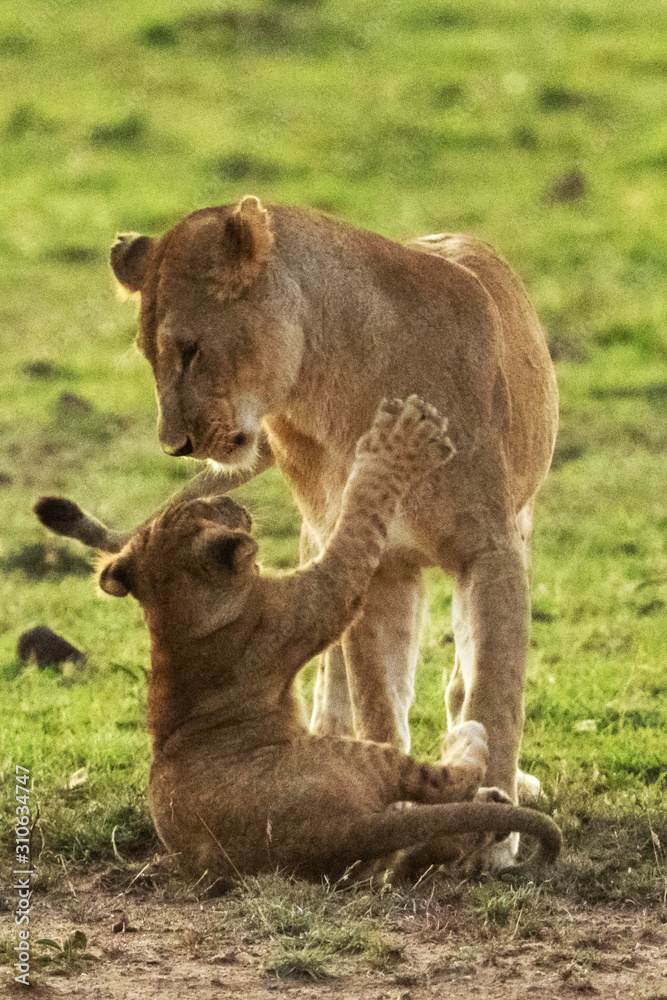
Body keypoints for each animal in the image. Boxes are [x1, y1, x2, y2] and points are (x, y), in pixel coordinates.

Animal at [35, 398, 560, 887]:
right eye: (210, 508)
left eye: (194, 507)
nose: (236, 504)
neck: (176, 617)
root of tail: (322, 834)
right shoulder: (313, 601)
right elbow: (360, 516)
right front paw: (394, 443)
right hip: (355, 755)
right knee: (435, 781)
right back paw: (473, 748)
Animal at [106, 196, 558, 866]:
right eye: (149, 356)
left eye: (189, 350)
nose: (175, 445)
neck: (325, 381)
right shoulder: (381, 564)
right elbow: (377, 699)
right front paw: (412, 817)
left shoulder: (490, 548)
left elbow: (495, 688)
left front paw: (491, 838)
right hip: (317, 537)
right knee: (333, 670)